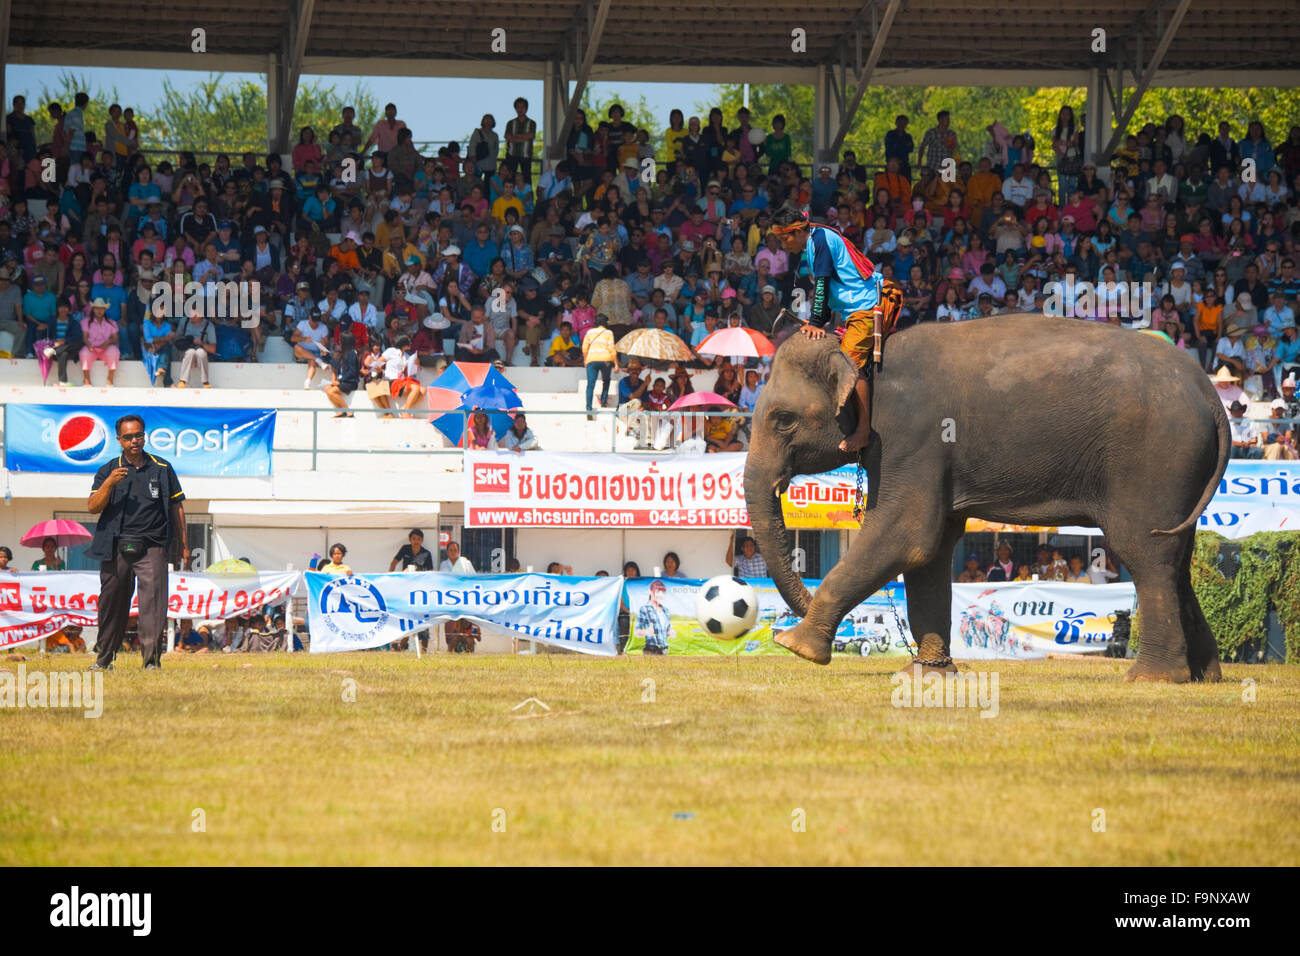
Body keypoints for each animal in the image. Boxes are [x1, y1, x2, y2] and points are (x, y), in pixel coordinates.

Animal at [748, 312, 1232, 681]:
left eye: (784, 419)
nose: (782, 624)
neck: (865, 357)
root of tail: (1210, 396)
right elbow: (931, 550)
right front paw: (928, 674)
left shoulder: (911, 438)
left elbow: (907, 537)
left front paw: (796, 646)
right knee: (1177, 559)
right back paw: (1204, 676)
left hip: (1154, 459)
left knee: (1145, 552)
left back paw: (1152, 678)